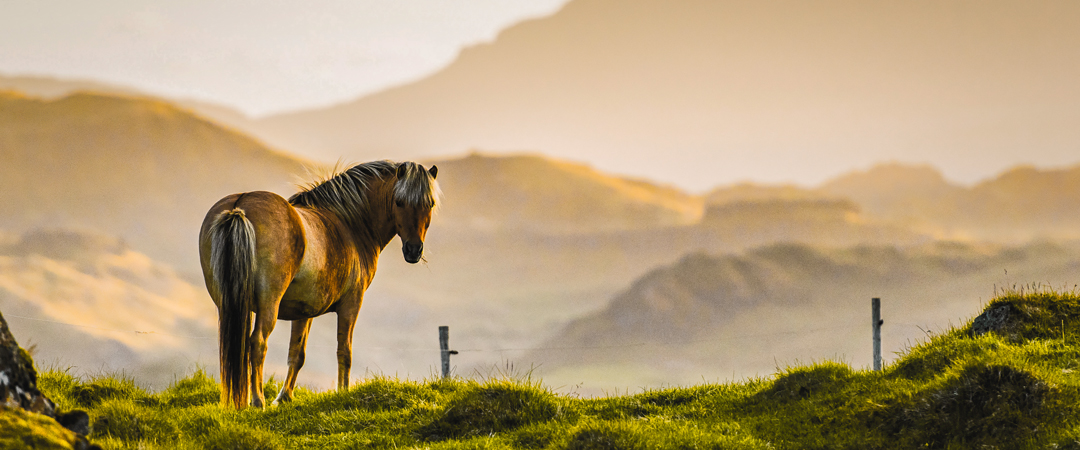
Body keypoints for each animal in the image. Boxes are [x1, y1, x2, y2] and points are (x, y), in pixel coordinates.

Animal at [198, 160, 438, 405]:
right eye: (399, 202)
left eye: (430, 203)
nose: (413, 250)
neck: (349, 224)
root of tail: (239, 206)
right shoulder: (351, 304)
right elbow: (344, 351)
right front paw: (343, 392)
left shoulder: (303, 312)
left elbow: (297, 354)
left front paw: (284, 397)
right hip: (268, 305)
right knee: (257, 343)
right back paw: (257, 401)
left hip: (230, 305)